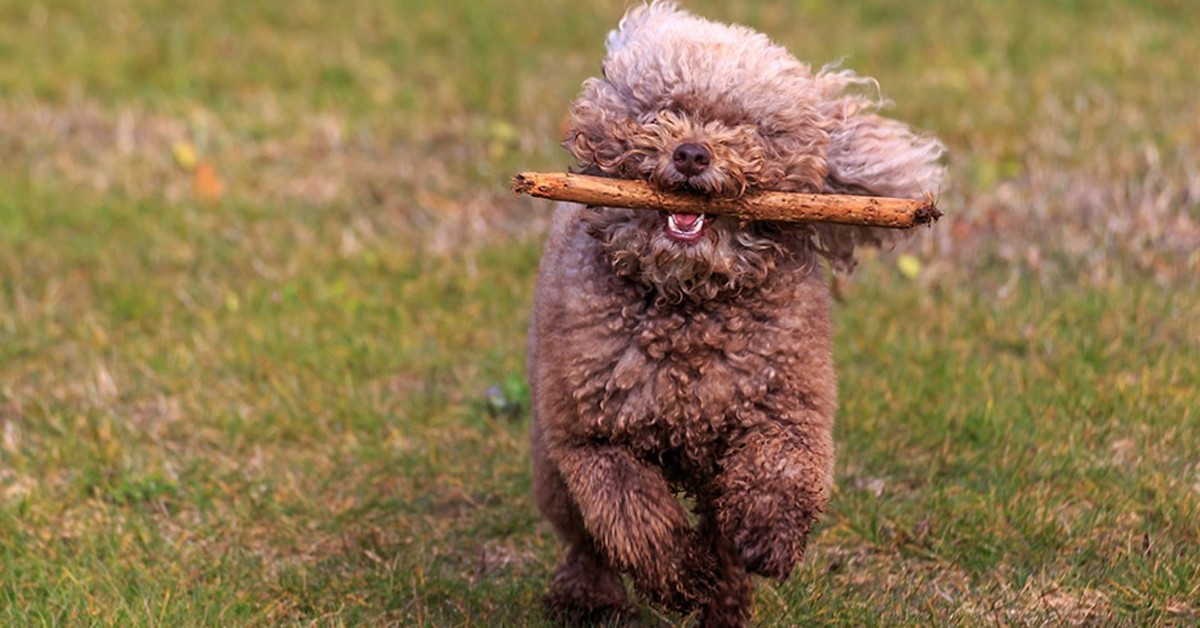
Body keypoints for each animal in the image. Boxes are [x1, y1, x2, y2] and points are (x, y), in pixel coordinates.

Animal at [525, 3, 945, 624]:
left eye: (747, 127)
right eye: (663, 110)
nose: (692, 153)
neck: (690, 304)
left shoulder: (786, 407)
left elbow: (781, 468)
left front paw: (768, 538)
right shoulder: (589, 436)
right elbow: (631, 513)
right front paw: (679, 579)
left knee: (719, 533)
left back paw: (726, 600)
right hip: (552, 458)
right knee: (585, 536)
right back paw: (591, 597)